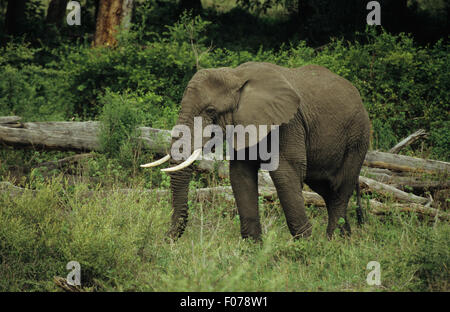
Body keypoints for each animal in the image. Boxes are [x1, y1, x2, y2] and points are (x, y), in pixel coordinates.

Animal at [142, 61, 370, 241]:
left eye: (210, 111)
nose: (166, 239)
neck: (235, 75)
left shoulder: (289, 124)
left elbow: (285, 174)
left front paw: (306, 248)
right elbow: (240, 175)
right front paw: (252, 250)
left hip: (358, 138)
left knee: (340, 188)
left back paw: (332, 243)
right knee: (327, 190)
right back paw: (344, 241)